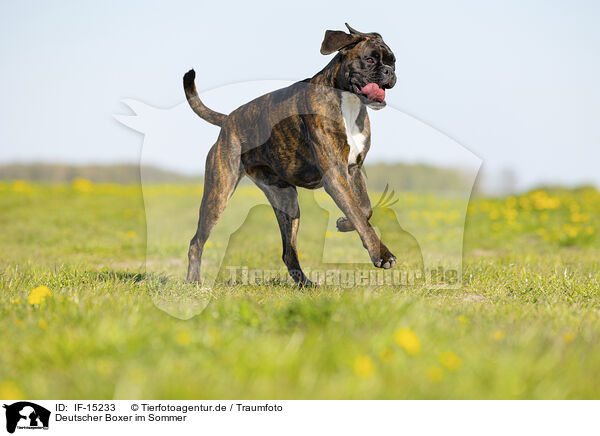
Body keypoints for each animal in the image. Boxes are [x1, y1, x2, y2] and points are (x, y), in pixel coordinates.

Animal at [183, 23, 398, 286]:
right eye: (369, 59)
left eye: (393, 62)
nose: (388, 71)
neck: (347, 101)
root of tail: (228, 120)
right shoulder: (335, 176)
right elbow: (359, 215)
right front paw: (382, 255)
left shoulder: (353, 170)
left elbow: (364, 209)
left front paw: (343, 223)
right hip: (218, 193)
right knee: (196, 241)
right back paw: (194, 282)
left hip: (287, 201)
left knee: (288, 251)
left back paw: (306, 284)